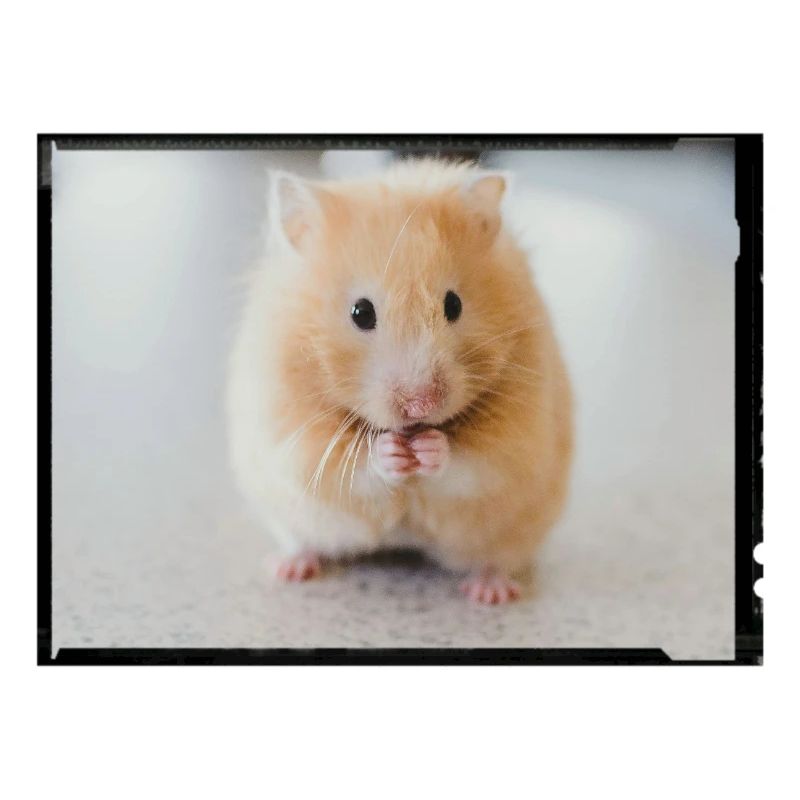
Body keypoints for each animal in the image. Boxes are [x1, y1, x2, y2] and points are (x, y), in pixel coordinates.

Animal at [226, 159, 572, 603]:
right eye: (360, 312)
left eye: (454, 305)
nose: (421, 405)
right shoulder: (293, 435)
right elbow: (350, 467)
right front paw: (392, 452)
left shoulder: (517, 441)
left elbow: (472, 464)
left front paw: (429, 448)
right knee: (303, 541)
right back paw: (288, 568)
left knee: (496, 559)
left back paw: (490, 593)